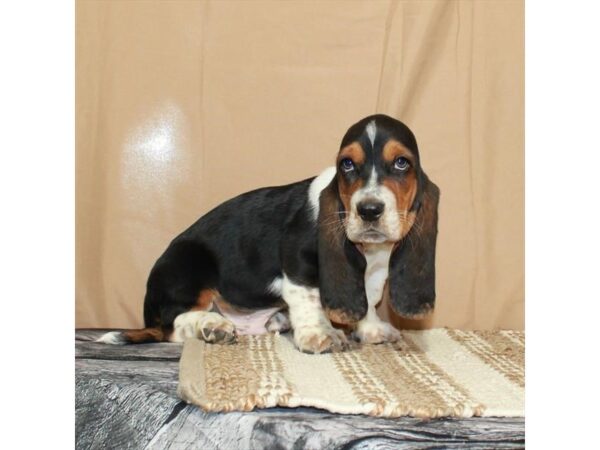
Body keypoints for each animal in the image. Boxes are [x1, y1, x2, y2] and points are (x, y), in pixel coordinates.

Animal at [99, 114, 440, 354]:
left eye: (401, 163)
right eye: (347, 164)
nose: (369, 210)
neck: (368, 251)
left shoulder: (376, 271)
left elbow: (368, 298)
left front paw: (370, 330)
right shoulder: (299, 260)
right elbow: (309, 298)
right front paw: (319, 334)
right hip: (187, 268)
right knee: (173, 325)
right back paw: (212, 325)